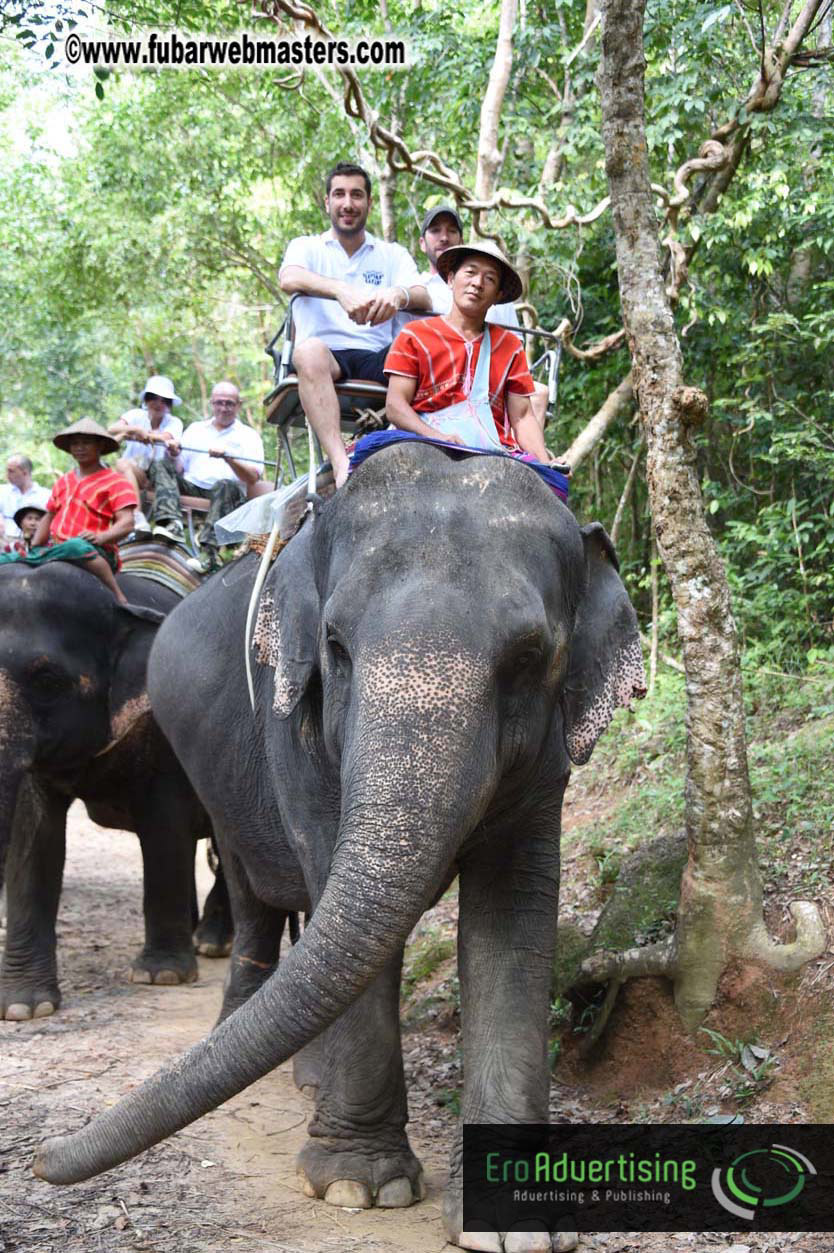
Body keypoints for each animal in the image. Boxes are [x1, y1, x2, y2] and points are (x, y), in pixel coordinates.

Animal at [0, 558, 232, 1021]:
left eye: (48, 680)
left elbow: (165, 826)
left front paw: (162, 976)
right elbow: (34, 836)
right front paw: (24, 1007)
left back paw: (212, 942)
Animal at [34, 442, 646, 1251]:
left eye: (531, 655)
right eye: (335, 645)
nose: (40, 1160)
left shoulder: (548, 765)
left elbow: (512, 916)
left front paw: (515, 1224)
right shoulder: (294, 726)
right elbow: (329, 875)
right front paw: (359, 1186)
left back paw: (308, 1078)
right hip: (214, 770)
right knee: (254, 889)